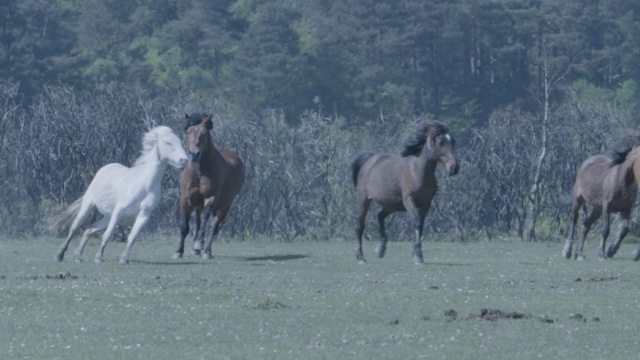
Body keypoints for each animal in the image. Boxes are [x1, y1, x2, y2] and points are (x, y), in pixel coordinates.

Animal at [52, 126, 188, 264]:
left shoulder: (144, 215)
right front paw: (99, 258)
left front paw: (124, 259)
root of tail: (105, 168)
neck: (145, 186)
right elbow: (108, 234)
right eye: (168, 142)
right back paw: (59, 255)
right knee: (75, 227)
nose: (184, 160)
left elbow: (132, 237)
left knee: (89, 230)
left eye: (180, 142)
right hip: (89, 205)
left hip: (108, 216)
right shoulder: (119, 210)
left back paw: (78, 257)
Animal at [172, 112, 245, 258]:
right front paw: (178, 252)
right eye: (188, 132)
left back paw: (206, 251)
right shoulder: (185, 199)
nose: (194, 154)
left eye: (204, 133)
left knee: (213, 227)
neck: (200, 172)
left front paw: (197, 246)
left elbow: (206, 222)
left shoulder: (211, 198)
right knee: (199, 222)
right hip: (199, 205)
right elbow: (184, 227)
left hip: (225, 207)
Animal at [350, 121, 460, 264]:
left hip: (392, 205)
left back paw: (381, 249)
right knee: (360, 226)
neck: (418, 171)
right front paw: (418, 255)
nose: (454, 168)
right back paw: (360, 257)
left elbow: (421, 225)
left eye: (453, 141)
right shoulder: (409, 200)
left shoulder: (426, 203)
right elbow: (417, 222)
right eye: (441, 142)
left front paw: (415, 253)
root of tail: (369, 161)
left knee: (380, 217)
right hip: (364, 200)